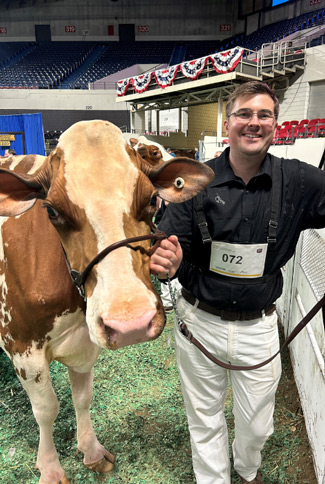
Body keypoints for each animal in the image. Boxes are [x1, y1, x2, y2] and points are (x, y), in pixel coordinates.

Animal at [0, 118, 213, 484]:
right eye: (51, 210)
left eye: (152, 199)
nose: (132, 324)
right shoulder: (22, 346)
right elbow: (46, 409)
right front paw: (51, 467)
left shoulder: (86, 340)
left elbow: (82, 396)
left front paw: (92, 450)